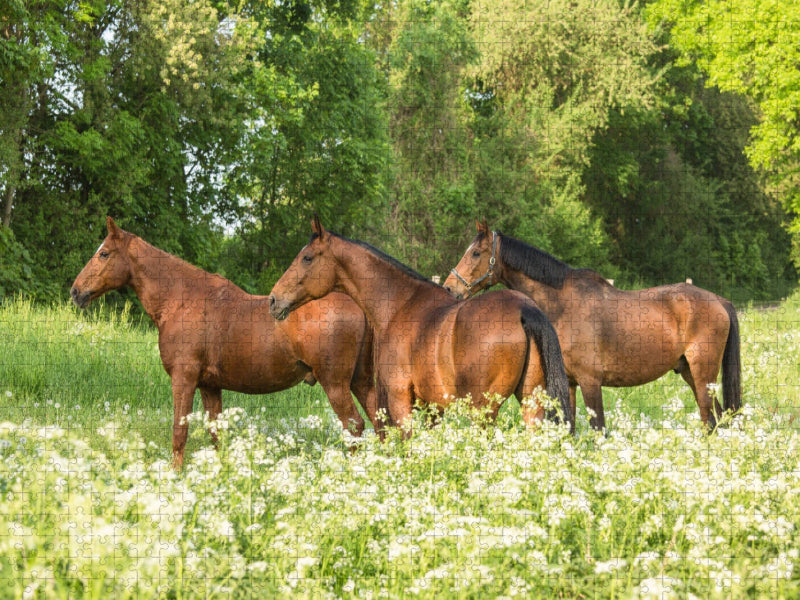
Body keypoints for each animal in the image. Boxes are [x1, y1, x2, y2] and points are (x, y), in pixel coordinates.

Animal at [71, 217, 378, 467]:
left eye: (104, 253)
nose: (75, 291)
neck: (181, 300)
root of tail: (359, 306)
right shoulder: (210, 386)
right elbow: (216, 434)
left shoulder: (184, 379)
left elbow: (179, 433)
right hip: (360, 382)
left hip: (335, 383)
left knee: (356, 426)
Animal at [268, 216, 573, 434]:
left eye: (307, 258)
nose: (273, 299)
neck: (399, 303)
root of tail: (524, 310)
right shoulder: (432, 408)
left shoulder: (401, 400)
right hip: (532, 403)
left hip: (483, 411)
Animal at [444, 220, 742, 431]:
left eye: (476, 253)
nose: (449, 288)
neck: (563, 305)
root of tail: (719, 301)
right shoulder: (571, 384)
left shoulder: (590, 383)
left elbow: (598, 430)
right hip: (691, 373)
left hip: (703, 376)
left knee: (710, 421)